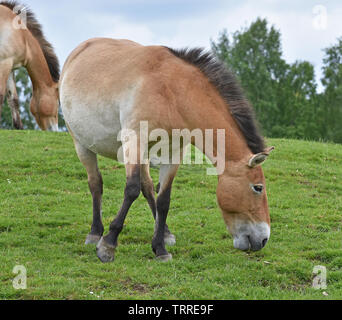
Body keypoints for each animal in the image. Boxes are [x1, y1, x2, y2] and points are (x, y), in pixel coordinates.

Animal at [0, 1, 59, 131]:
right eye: (58, 103)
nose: (55, 130)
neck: (22, 36)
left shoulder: (10, 67)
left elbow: (14, 100)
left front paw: (19, 128)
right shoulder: (4, 63)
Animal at [59, 38, 276, 262]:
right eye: (258, 188)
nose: (263, 239)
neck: (171, 93)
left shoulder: (174, 153)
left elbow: (164, 199)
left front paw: (160, 248)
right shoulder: (134, 143)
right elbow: (131, 190)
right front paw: (108, 244)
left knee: (146, 186)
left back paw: (165, 233)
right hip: (82, 145)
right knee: (96, 184)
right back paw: (95, 232)